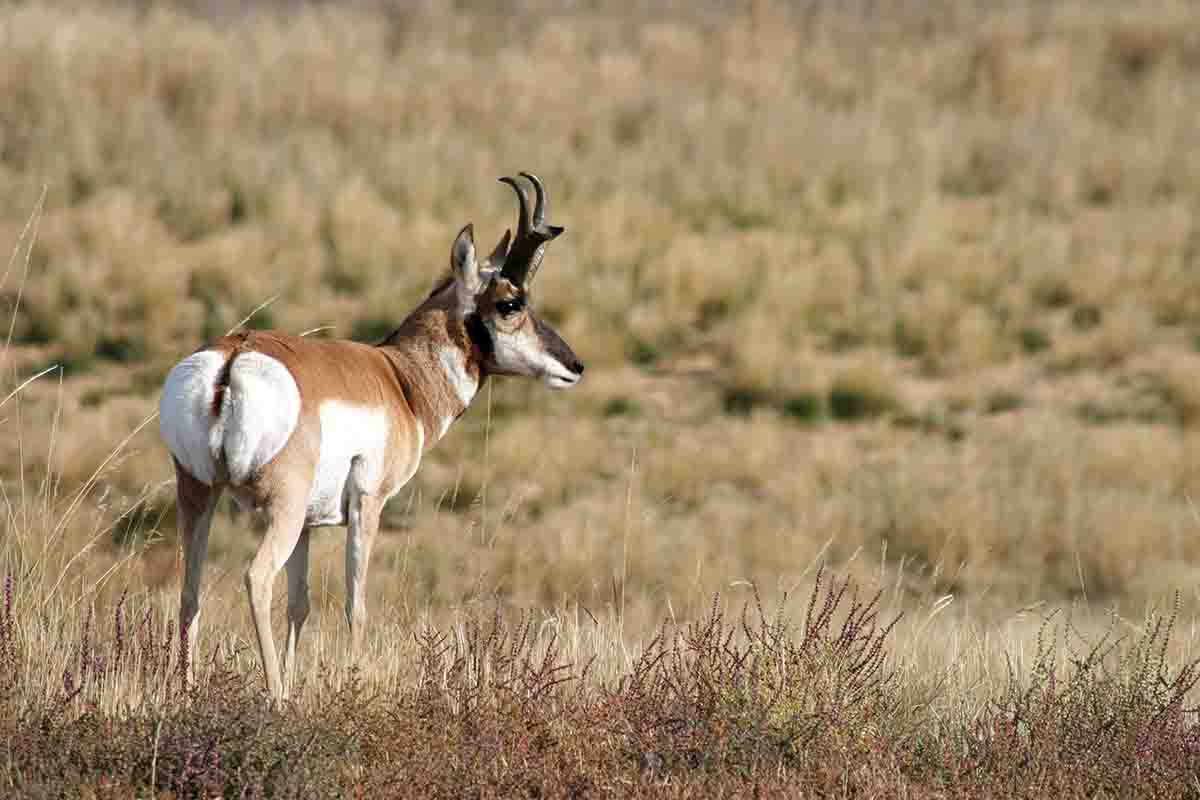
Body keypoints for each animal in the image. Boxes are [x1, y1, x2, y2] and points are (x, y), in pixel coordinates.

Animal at [160, 172, 585, 695]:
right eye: (510, 303)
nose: (574, 365)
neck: (398, 378)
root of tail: (234, 358)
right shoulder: (368, 503)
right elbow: (355, 605)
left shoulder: (309, 525)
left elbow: (299, 605)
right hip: (280, 508)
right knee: (256, 579)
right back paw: (273, 695)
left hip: (199, 493)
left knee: (189, 591)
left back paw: (188, 693)